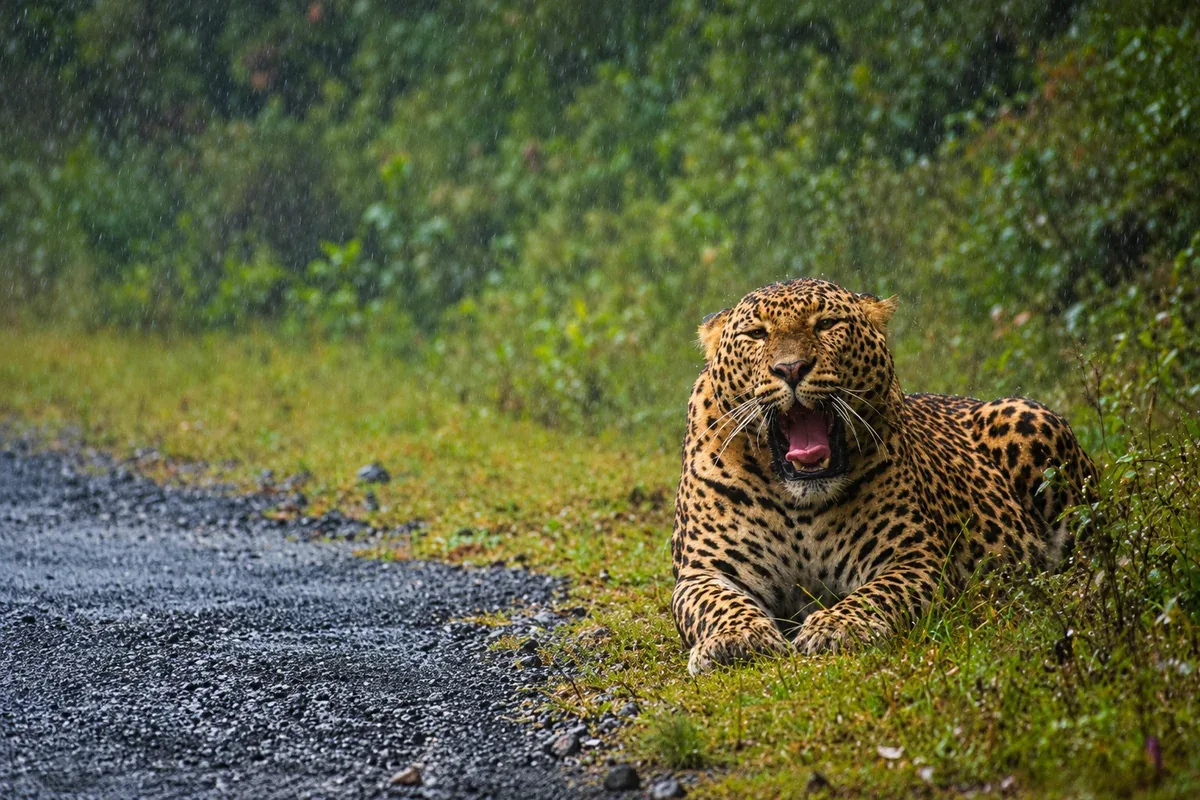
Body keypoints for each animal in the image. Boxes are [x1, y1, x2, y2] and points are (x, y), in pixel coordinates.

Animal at [671, 279, 1097, 675]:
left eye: (826, 324)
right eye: (757, 334)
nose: (790, 368)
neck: (799, 503)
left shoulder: (912, 558)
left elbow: (875, 594)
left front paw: (836, 627)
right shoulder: (705, 572)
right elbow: (719, 604)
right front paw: (736, 638)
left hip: (1028, 419)